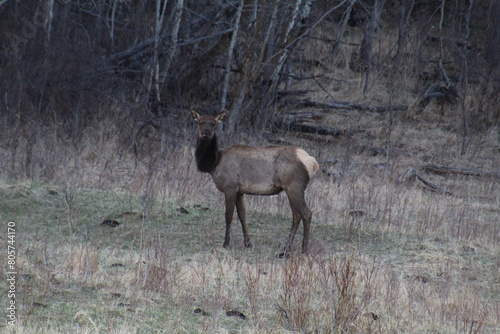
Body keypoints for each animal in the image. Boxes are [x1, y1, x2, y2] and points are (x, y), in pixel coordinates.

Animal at [189, 108, 318, 254]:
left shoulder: (230, 187)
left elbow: (228, 215)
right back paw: (285, 249)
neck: (214, 164)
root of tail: (312, 162)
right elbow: (242, 215)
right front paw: (248, 243)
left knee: (306, 213)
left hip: (295, 186)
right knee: (296, 215)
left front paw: (226, 243)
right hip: (290, 189)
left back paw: (304, 249)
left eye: (213, 123)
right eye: (199, 122)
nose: (206, 132)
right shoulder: (239, 191)